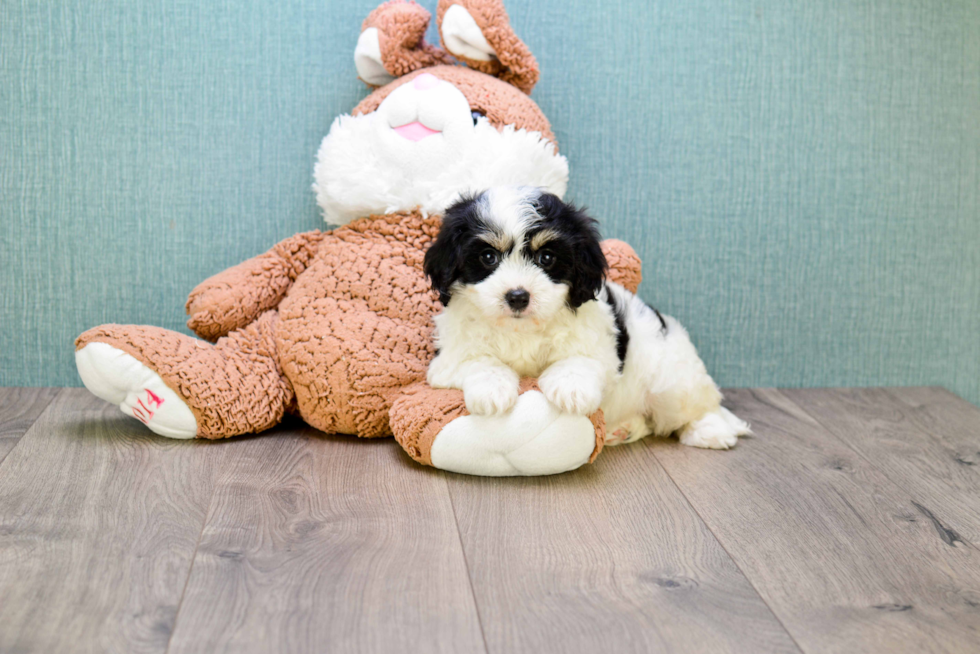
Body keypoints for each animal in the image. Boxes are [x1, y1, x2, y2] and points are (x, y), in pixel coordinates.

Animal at [424, 187, 752, 448]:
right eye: (488, 257)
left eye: (547, 258)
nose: (517, 296)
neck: (522, 330)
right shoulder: (449, 358)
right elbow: (477, 360)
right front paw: (492, 390)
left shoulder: (600, 345)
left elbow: (580, 359)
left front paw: (570, 389)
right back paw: (623, 429)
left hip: (671, 378)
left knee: (696, 405)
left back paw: (710, 431)